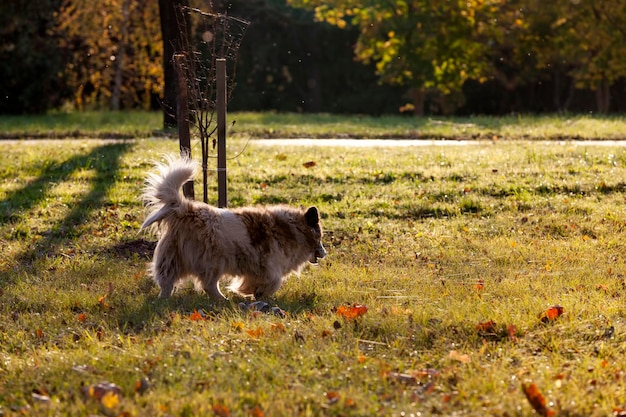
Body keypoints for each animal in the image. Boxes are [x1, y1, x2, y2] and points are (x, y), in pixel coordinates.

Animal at [140, 154, 326, 300]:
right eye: (320, 237)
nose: (325, 253)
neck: (293, 229)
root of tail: (186, 208)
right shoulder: (270, 265)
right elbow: (275, 281)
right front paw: (258, 293)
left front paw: (254, 292)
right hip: (214, 261)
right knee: (208, 284)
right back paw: (222, 300)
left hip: (172, 257)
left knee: (167, 281)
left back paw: (163, 300)